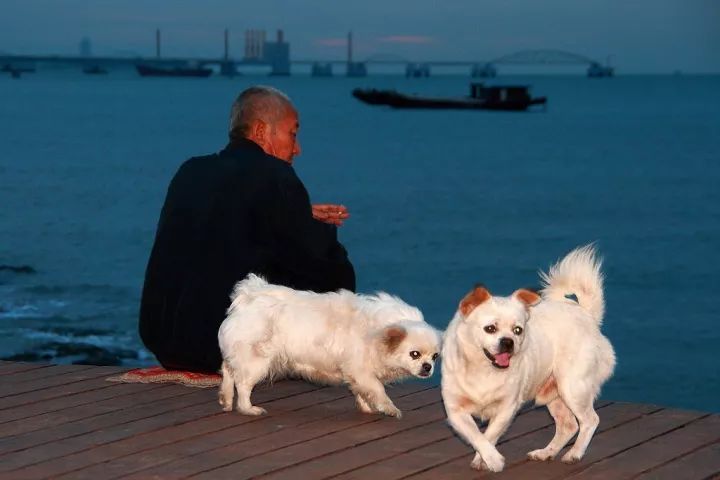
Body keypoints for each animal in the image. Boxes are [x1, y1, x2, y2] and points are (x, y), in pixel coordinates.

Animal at [217, 276, 442, 418]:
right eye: (415, 354)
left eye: (435, 357)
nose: (427, 367)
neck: (377, 333)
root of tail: (248, 298)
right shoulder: (360, 369)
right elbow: (377, 389)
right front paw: (389, 409)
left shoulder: (357, 374)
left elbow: (363, 391)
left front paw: (366, 407)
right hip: (256, 361)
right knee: (243, 384)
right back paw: (248, 409)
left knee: (228, 370)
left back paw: (226, 400)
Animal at [442, 246, 616, 470]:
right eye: (490, 329)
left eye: (518, 330)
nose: (508, 342)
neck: (484, 369)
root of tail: (587, 315)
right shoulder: (455, 411)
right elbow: (476, 436)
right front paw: (489, 458)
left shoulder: (507, 408)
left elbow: (490, 434)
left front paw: (488, 460)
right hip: (556, 394)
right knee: (568, 425)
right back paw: (546, 453)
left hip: (573, 387)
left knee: (590, 420)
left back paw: (574, 453)